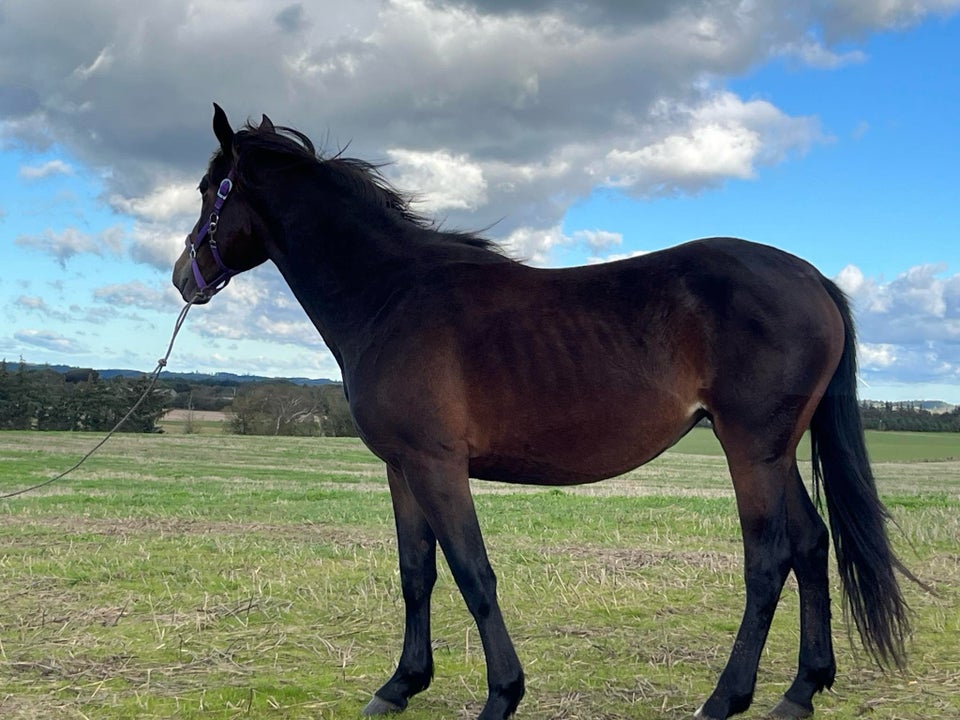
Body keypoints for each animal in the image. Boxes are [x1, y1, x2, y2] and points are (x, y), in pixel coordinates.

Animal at [172, 105, 916, 720]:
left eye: (211, 191)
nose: (183, 277)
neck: (390, 296)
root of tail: (810, 278)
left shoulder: (437, 466)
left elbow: (473, 574)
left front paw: (502, 695)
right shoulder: (401, 468)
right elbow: (417, 574)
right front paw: (401, 685)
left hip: (751, 450)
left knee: (769, 560)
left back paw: (724, 699)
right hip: (773, 451)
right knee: (812, 544)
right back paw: (799, 692)